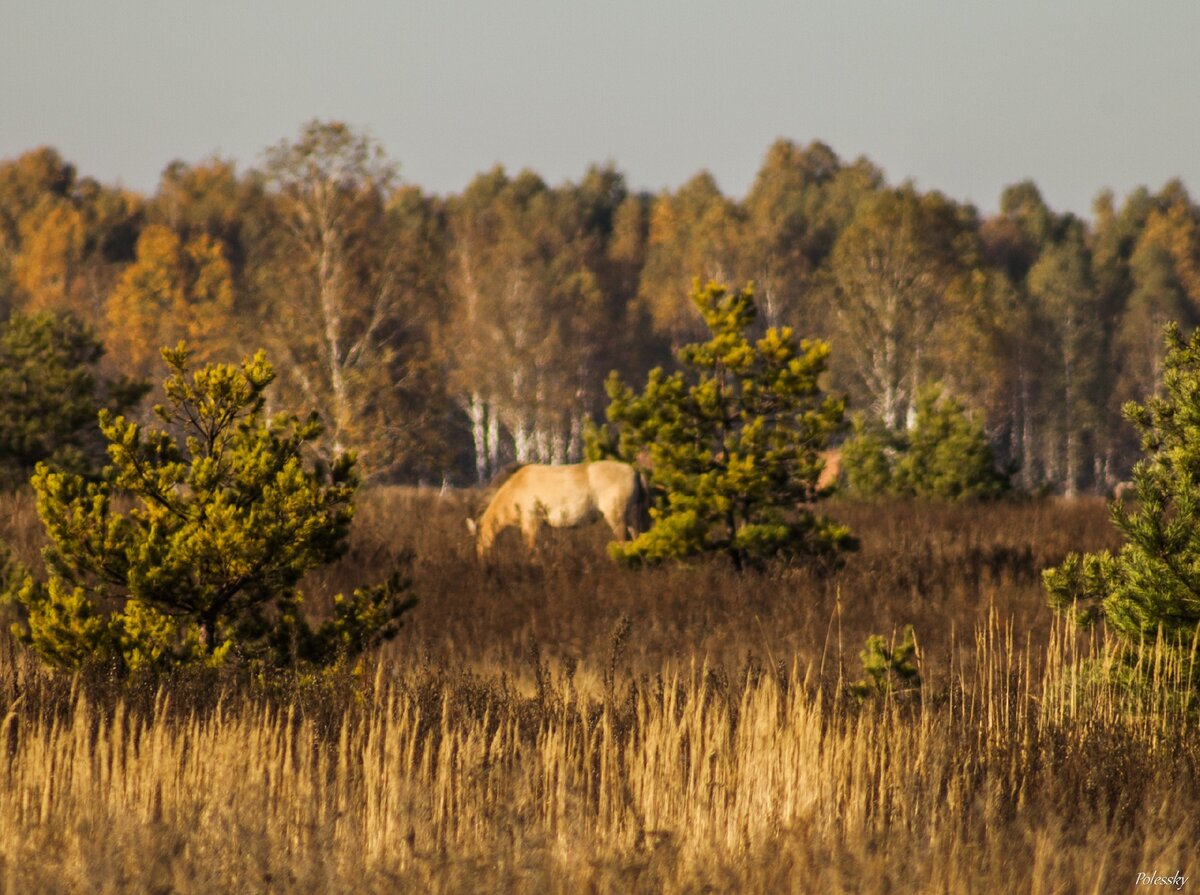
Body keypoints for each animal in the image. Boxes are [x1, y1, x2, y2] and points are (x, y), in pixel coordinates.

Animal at [468, 460, 657, 556]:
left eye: (478, 540)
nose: (482, 565)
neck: (515, 488)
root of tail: (636, 471)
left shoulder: (531, 523)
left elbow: (530, 550)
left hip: (617, 518)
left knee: (624, 543)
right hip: (632, 519)